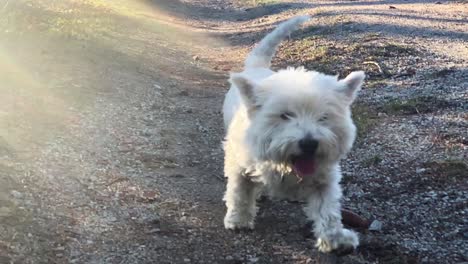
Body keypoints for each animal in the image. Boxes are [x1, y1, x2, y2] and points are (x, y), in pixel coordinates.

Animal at [221, 14, 364, 254]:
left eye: (323, 117)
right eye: (285, 115)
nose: (309, 143)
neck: (287, 164)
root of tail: (257, 68)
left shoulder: (324, 178)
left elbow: (328, 210)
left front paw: (335, 239)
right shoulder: (240, 164)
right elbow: (239, 191)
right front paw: (238, 220)